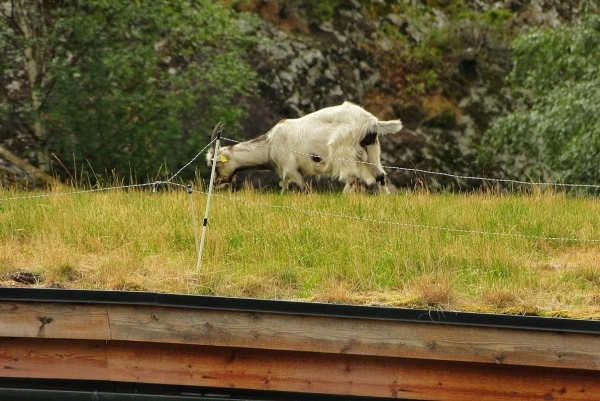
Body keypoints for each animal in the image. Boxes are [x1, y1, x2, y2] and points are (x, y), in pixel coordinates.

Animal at [206, 101, 404, 193]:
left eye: (216, 163)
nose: (215, 183)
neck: (269, 144)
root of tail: (372, 122)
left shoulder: (291, 169)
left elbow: (305, 189)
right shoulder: (286, 175)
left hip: (343, 151)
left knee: (352, 178)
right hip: (372, 151)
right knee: (380, 176)